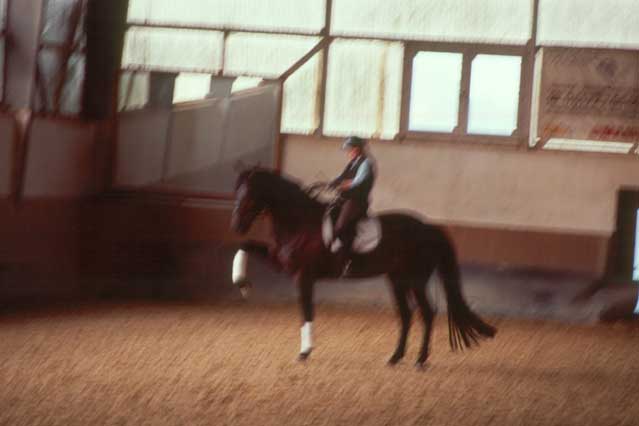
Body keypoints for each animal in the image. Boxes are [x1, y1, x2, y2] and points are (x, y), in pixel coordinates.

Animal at [230, 168, 496, 368]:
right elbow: (245, 246)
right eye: (237, 194)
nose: (236, 226)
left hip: (416, 280)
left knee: (426, 313)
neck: (300, 222)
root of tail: (429, 228)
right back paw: (395, 357)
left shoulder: (304, 276)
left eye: (250, 196)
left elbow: (306, 312)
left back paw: (420, 360)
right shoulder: (282, 263)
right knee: (406, 315)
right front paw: (241, 283)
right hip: (397, 280)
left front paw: (305, 351)